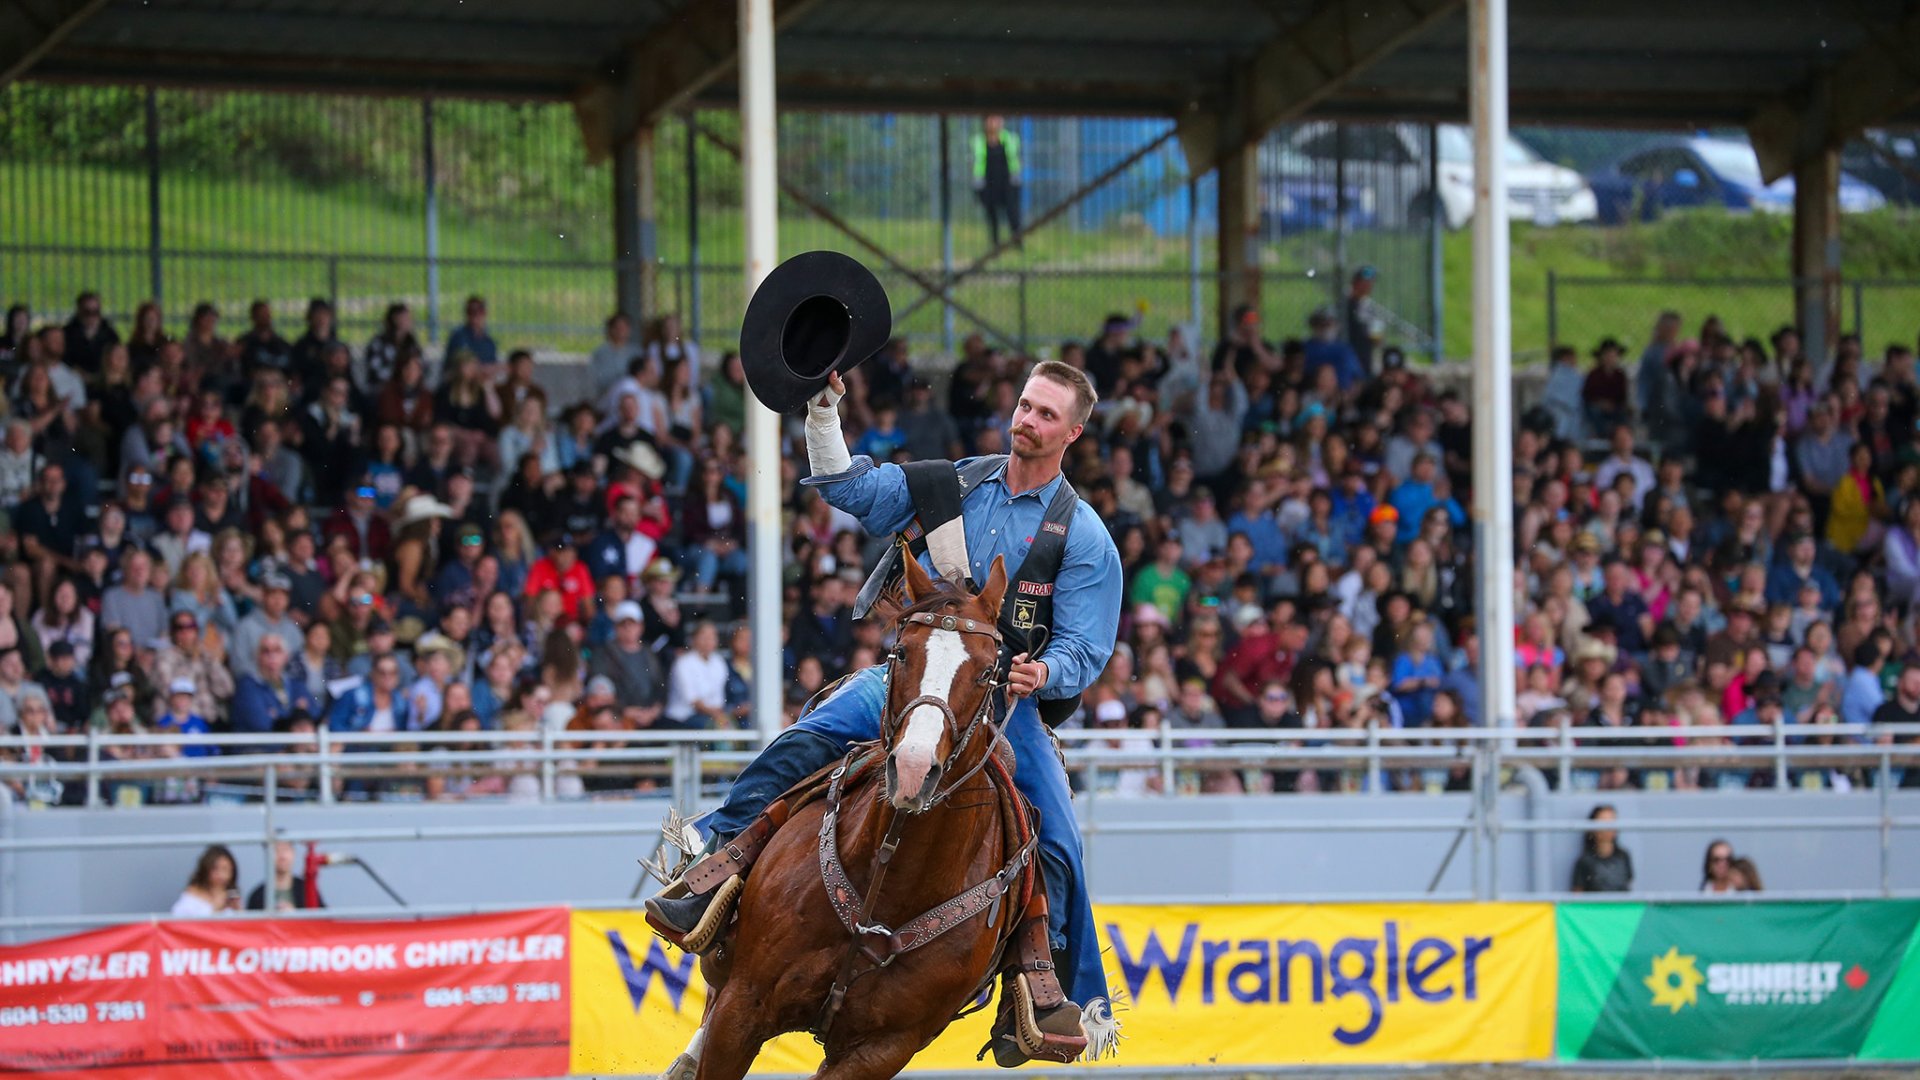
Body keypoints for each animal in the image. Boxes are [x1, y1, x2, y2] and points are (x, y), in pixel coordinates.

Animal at [672, 553, 1036, 1076]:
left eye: (989, 671)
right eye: (901, 653)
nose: (912, 770)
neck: (889, 883)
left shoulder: (883, 1049)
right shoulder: (742, 1005)